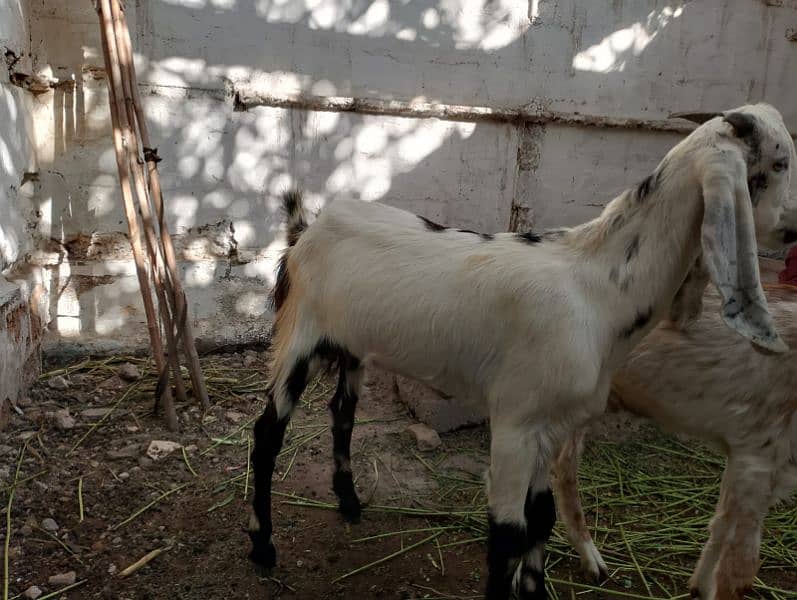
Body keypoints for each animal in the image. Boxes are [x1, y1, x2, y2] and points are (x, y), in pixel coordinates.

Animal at [247, 104, 788, 600]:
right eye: (779, 163)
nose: (792, 230)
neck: (597, 286)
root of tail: (306, 228)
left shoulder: (552, 424)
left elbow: (542, 516)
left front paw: (533, 587)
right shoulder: (515, 421)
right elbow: (508, 534)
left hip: (353, 345)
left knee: (342, 412)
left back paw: (349, 501)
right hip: (298, 334)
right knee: (267, 435)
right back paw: (262, 547)